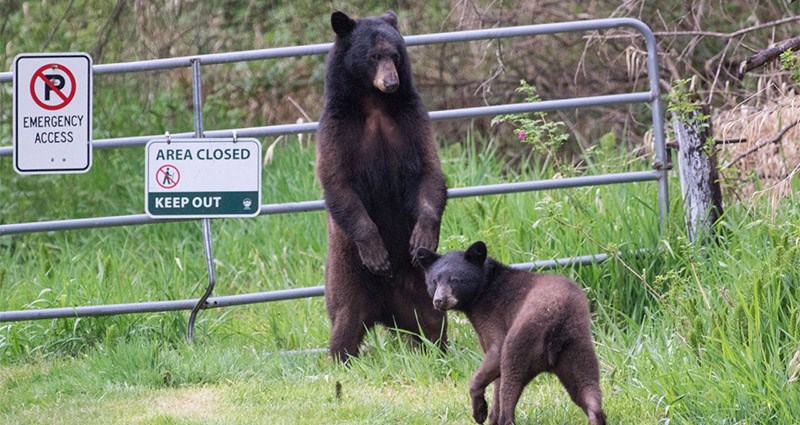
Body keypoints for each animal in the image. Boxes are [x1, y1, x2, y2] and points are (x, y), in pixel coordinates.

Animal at [314, 10, 450, 362]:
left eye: (395, 54)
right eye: (373, 56)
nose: (391, 82)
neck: (374, 103)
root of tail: (386, 312)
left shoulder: (412, 120)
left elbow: (430, 173)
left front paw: (421, 237)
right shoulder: (337, 129)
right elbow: (339, 185)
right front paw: (376, 252)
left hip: (423, 285)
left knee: (433, 321)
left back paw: (437, 350)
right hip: (346, 277)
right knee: (345, 325)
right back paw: (341, 358)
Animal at [416, 242, 604, 424]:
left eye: (455, 280)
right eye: (434, 281)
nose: (439, 300)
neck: (484, 292)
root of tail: (559, 318)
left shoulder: (494, 321)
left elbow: (493, 357)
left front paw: (480, 413)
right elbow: (496, 382)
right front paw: (491, 416)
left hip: (522, 338)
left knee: (511, 379)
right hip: (577, 349)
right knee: (587, 389)